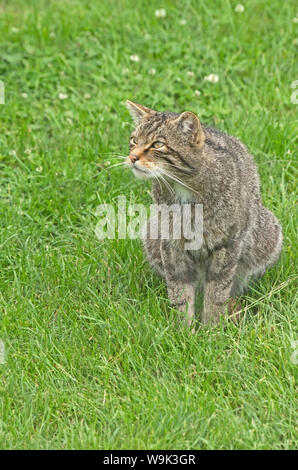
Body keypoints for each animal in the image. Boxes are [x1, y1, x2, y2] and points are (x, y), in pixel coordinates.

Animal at [124, 100, 282, 326]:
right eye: (134, 140)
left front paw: (212, 328)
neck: (183, 188)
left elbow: (217, 292)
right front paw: (183, 329)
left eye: (157, 144)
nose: (132, 157)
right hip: (151, 231)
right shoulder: (171, 244)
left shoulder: (227, 245)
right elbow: (180, 293)